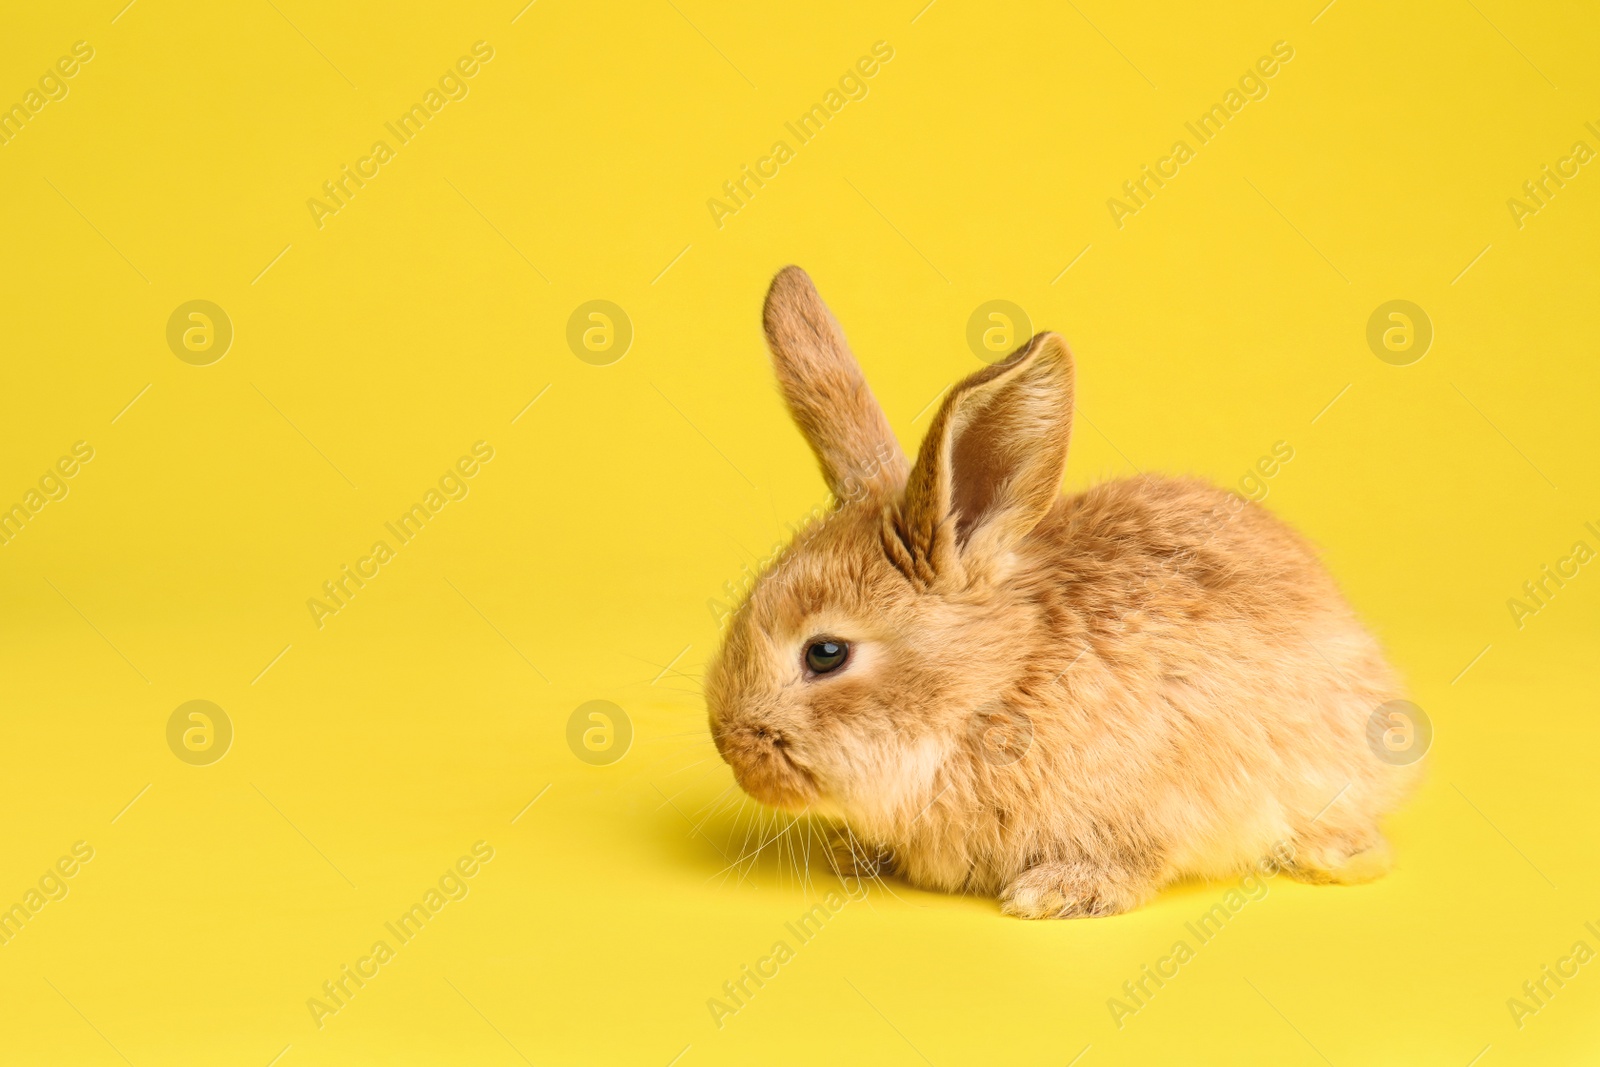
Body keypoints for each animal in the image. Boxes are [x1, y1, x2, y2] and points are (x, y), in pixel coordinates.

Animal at [707, 265, 1420, 921]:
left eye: (826, 653)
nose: (729, 747)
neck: (992, 689)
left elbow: (1134, 858)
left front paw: (1058, 894)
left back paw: (1334, 857)